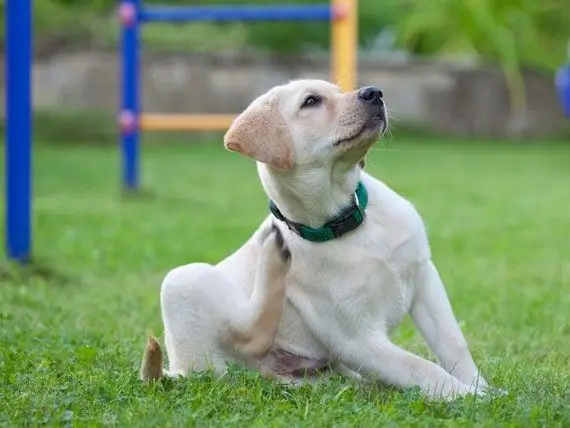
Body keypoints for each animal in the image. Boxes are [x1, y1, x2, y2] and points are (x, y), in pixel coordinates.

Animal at [139, 78, 488, 400]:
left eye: (340, 91)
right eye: (311, 102)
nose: (374, 92)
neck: (344, 221)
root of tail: (178, 368)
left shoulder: (424, 278)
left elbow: (453, 344)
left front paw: (482, 387)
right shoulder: (357, 340)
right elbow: (421, 368)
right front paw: (473, 398)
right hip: (184, 281)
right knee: (248, 337)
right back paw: (273, 257)